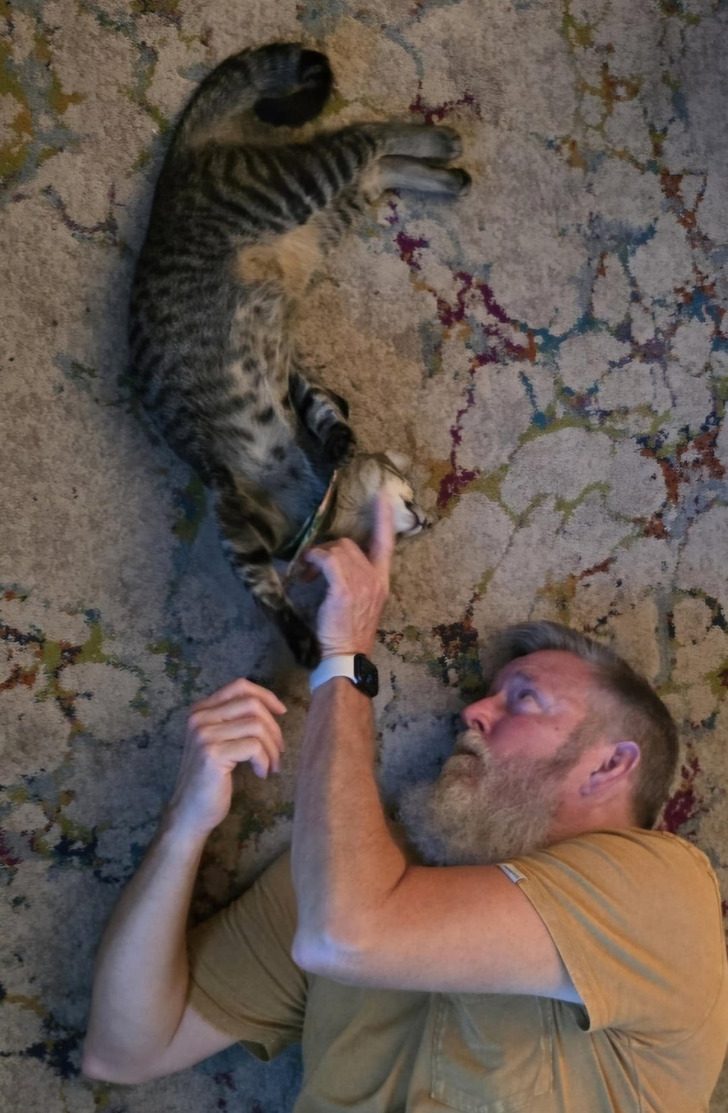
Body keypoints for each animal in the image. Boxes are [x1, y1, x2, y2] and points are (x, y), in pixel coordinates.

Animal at [128, 42, 469, 667]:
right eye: (409, 493)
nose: (427, 518)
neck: (327, 506)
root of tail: (179, 165)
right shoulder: (232, 518)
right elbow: (262, 586)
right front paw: (300, 637)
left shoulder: (294, 378)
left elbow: (322, 406)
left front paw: (340, 437)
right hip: (302, 189)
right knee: (366, 137)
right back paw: (441, 147)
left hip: (322, 211)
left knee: (372, 160)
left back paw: (445, 169)